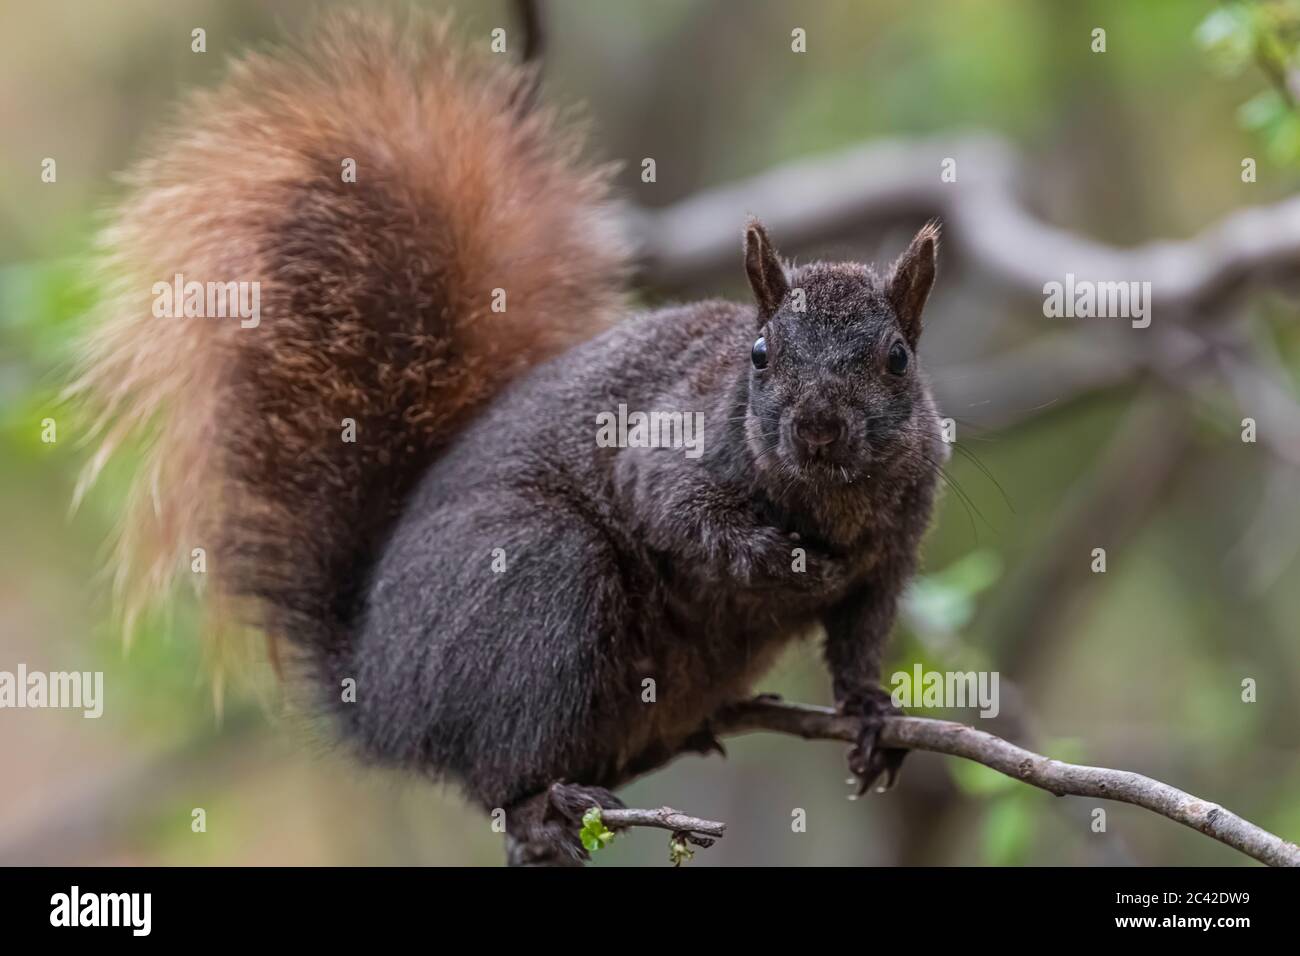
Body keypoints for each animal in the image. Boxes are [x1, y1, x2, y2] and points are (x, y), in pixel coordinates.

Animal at [73, 11, 946, 868]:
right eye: (760, 356)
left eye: (898, 360)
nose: (819, 427)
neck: (827, 499)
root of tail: (377, 693)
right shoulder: (666, 442)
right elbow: (675, 510)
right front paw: (775, 559)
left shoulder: (897, 543)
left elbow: (861, 631)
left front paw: (870, 711)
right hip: (538, 568)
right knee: (492, 773)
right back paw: (538, 810)